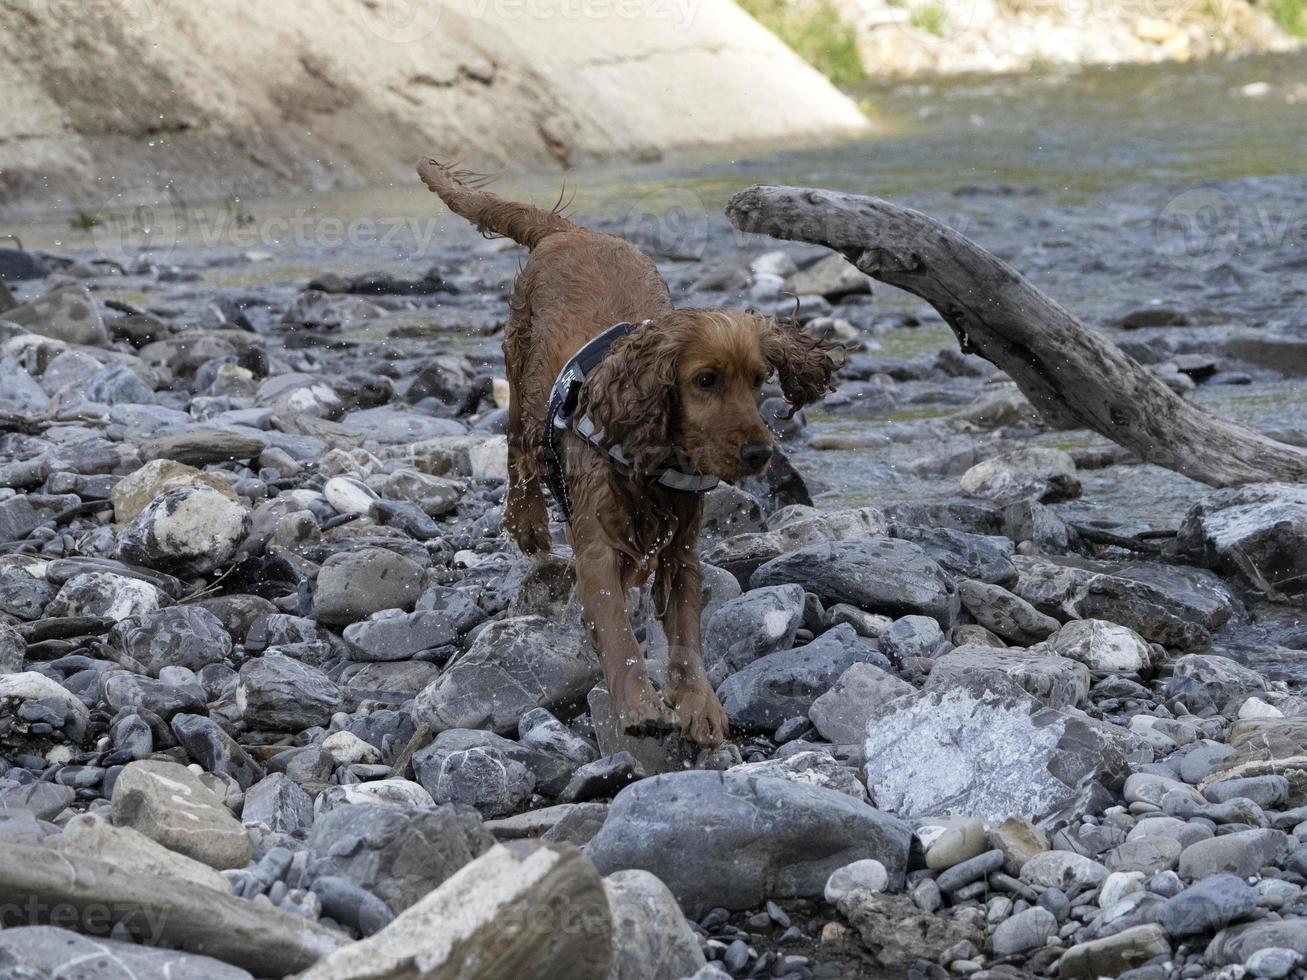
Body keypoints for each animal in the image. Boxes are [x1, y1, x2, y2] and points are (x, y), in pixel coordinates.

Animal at [418, 159, 836, 742]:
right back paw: (526, 523)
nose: (759, 453)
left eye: (759, 380)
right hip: (521, 380)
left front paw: (698, 703)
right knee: (518, 451)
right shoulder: (597, 547)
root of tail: (567, 232)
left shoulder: (682, 548)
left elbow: (686, 632)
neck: (649, 457)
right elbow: (616, 629)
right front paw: (638, 704)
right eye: (705, 380)